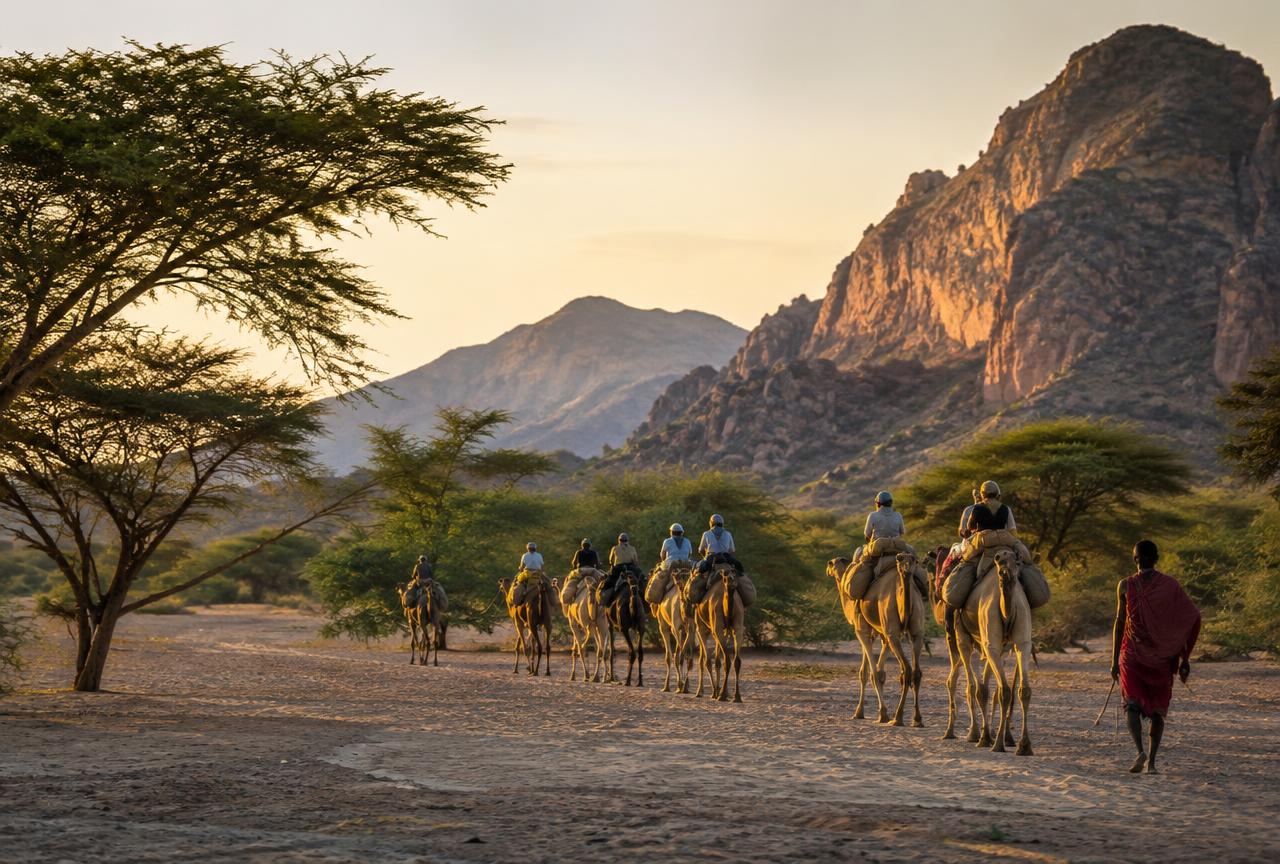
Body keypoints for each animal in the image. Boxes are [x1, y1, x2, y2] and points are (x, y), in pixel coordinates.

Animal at [955, 548, 1035, 754]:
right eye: (1000, 565)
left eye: (1017, 564)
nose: (1008, 575)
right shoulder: (997, 645)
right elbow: (989, 689)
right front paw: (989, 737)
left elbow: (980, 688)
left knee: (998, 688)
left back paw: (993, 738)